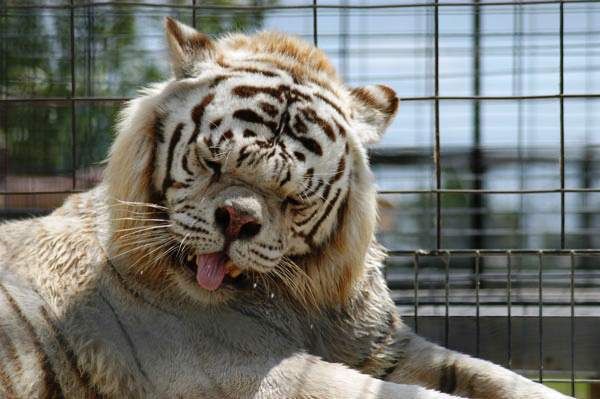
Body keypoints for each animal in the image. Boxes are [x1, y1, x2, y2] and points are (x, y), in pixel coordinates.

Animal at [0, 18, 572, 399]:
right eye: (212, 162)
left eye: (295, 196)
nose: (237, 220)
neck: (299, 303)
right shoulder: (246, 371)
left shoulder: (384, 349)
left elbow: (489, 375)